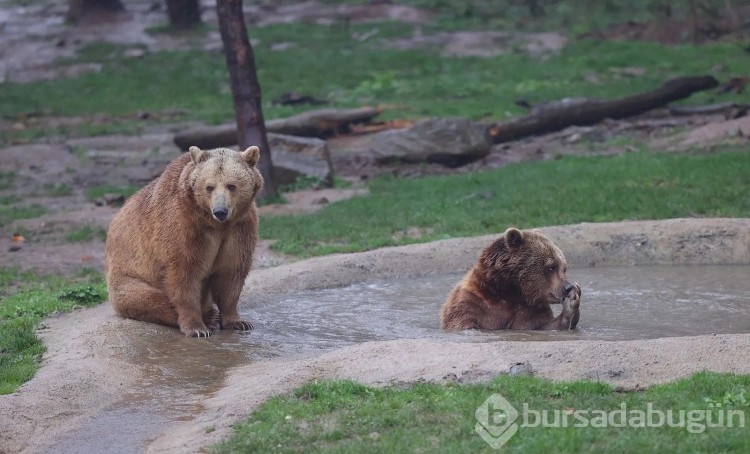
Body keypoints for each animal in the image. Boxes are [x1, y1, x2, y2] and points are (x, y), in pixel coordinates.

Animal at [104, 145, 264, 336]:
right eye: (209, 187)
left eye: (231, 186)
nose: (220, 211)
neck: (215, 224)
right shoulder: (184, 225)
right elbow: (184, 273)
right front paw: (197, 328)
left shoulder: (239, 228)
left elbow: (231, 273)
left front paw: (238, 322)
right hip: (128, 279)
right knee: (148, 299)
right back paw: (208, 317)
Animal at [444, 227, 584, 330]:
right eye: (551, 267)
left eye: (563, 268)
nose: (568, 287)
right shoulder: (471, 303)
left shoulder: (531, 311)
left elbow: (545, 325)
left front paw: (571, 306)